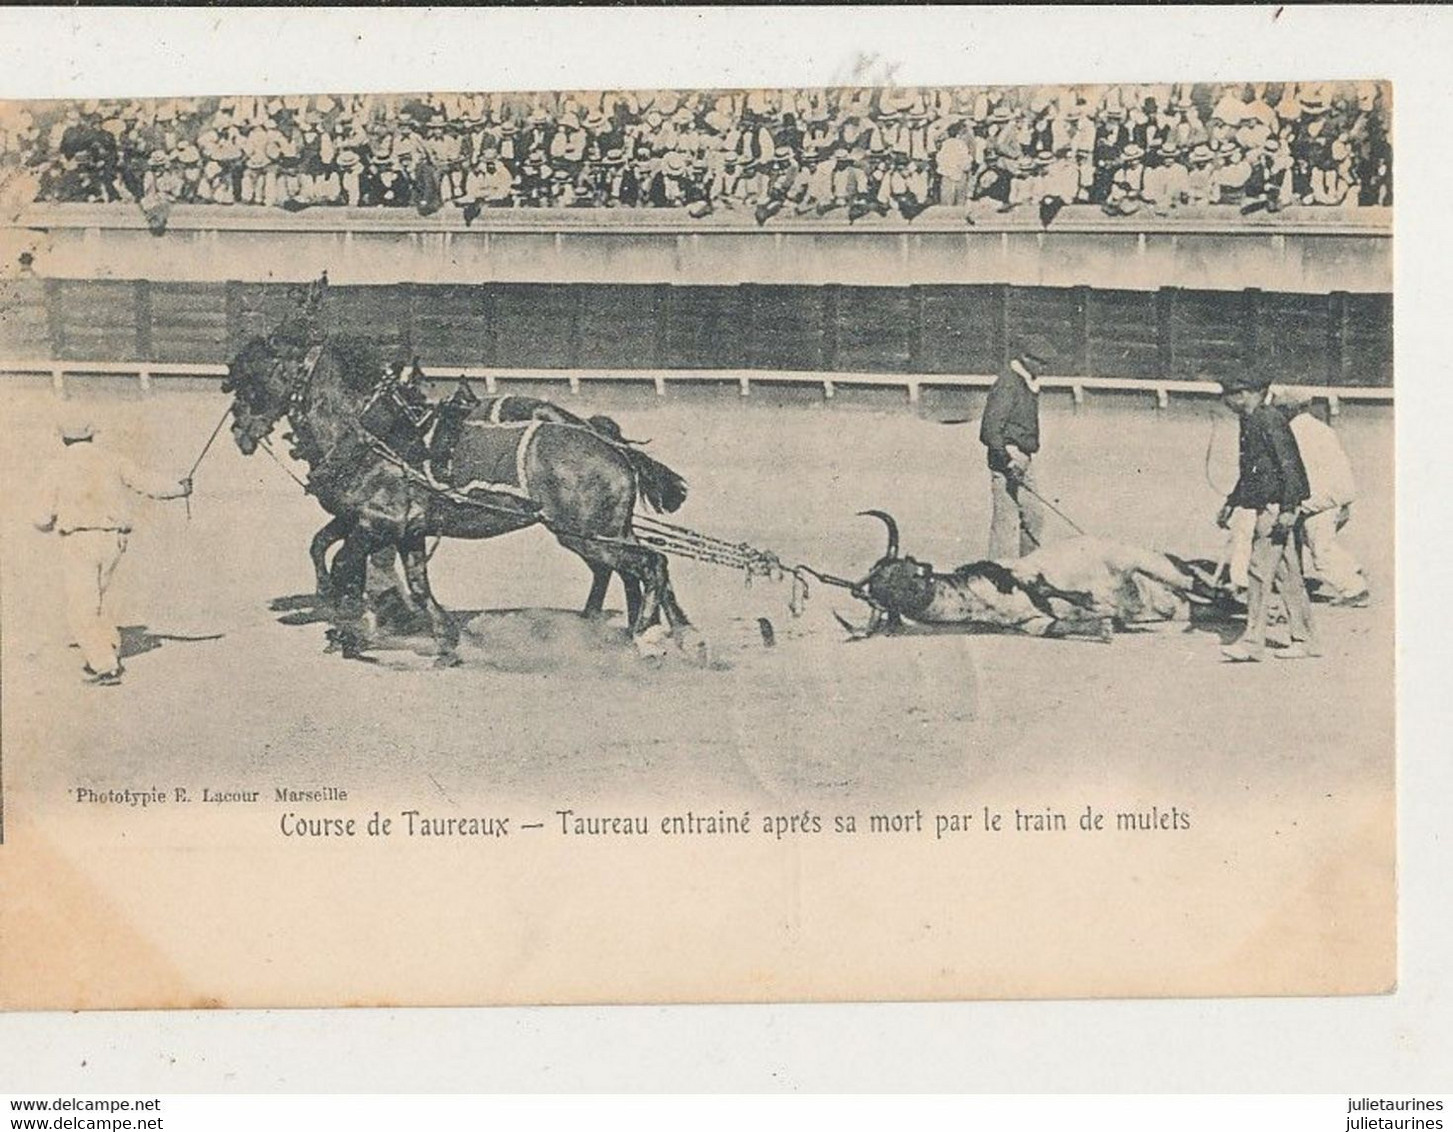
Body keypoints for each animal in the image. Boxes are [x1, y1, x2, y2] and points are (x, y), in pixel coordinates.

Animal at [223, 332, 694, 659]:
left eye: (252, 380)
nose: (238, 432)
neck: (374, 435)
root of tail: (612, 446)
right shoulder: (402, 529)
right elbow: (401, 576)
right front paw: (441, 636)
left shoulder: (378, 524)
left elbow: (345, 565)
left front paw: (349, 629)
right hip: (604, 532)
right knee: (635, 568)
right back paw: (663, 630)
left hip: (587, 535)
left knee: (649, 564)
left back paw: (645, 637)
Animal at [836, 511, 1220, 642]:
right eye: (883, 592)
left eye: (902, 574)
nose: (917, 596)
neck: (979, 597)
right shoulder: (1033, 624)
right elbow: (1059, 625)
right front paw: (1104, 626)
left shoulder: (1026, 575)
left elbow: (1055, 591)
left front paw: (1097, 609)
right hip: (1178, 607)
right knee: (1204, 608)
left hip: (1148, 562)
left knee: (1201, 584)